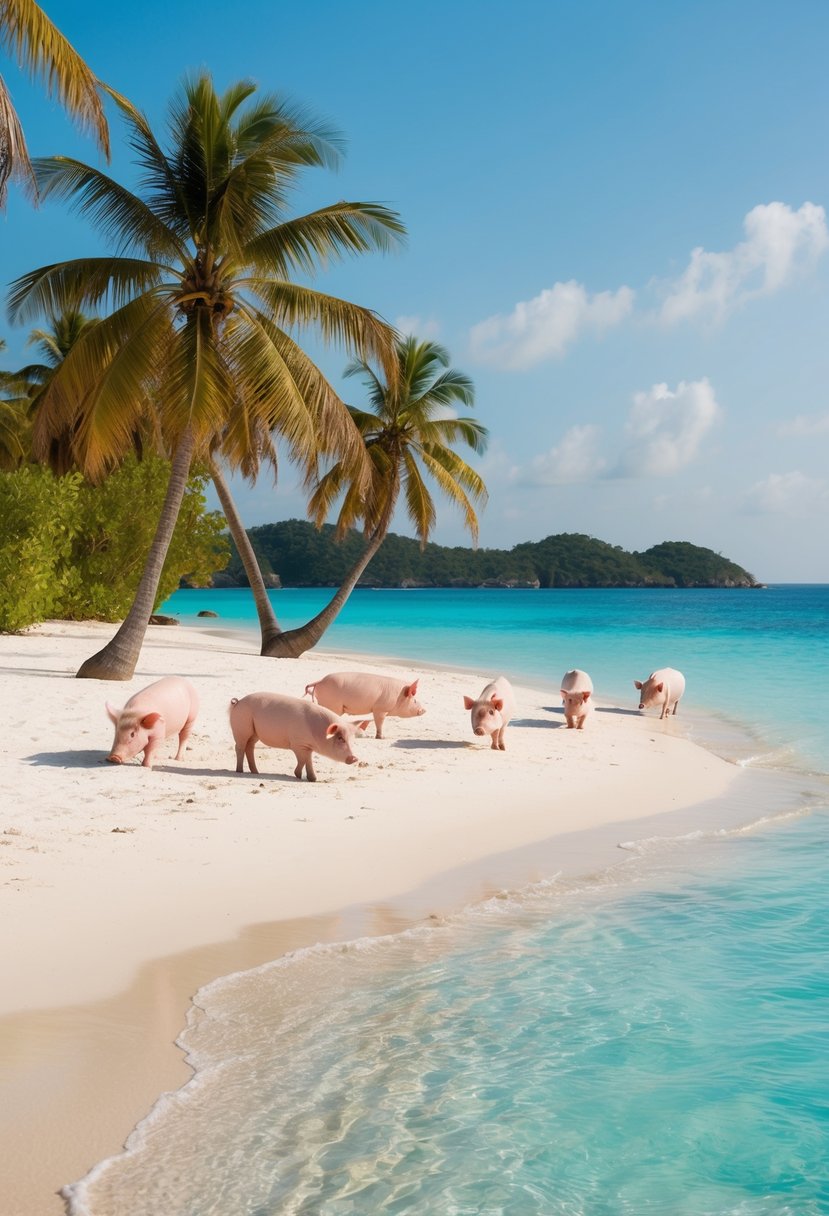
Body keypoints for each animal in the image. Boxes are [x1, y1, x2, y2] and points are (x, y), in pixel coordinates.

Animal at [229, 691, 370, 781]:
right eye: (340, 738)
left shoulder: (307, 746)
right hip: (241, 727)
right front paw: (298, 775)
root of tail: (237, 703)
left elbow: (308, 760)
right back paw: (240, 771)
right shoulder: (297, 744)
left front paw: (313, 779)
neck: (317, 730)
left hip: (254, 733)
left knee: (250, 747)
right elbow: (302, 759)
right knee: (239, 747)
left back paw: (255, 772)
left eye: (353, 740)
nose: (354, 758)